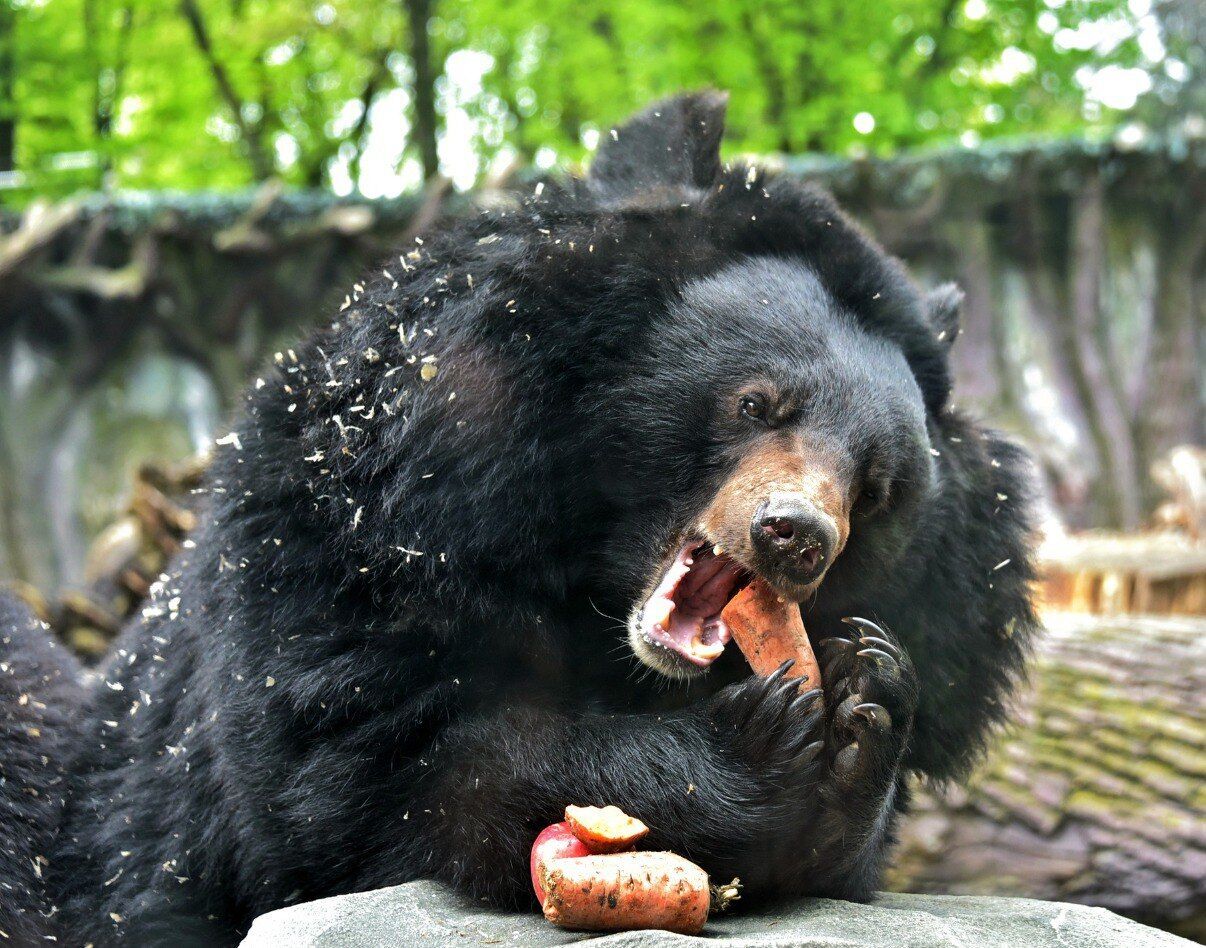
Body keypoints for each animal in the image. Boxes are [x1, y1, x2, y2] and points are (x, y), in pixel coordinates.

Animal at [0, 92, 1037, 940]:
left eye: (876, 488)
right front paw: (749, 742)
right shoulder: (356, 540)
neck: (594, 581)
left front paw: (866, 700)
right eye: (757, 403)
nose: (793, 537)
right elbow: (378, 776)